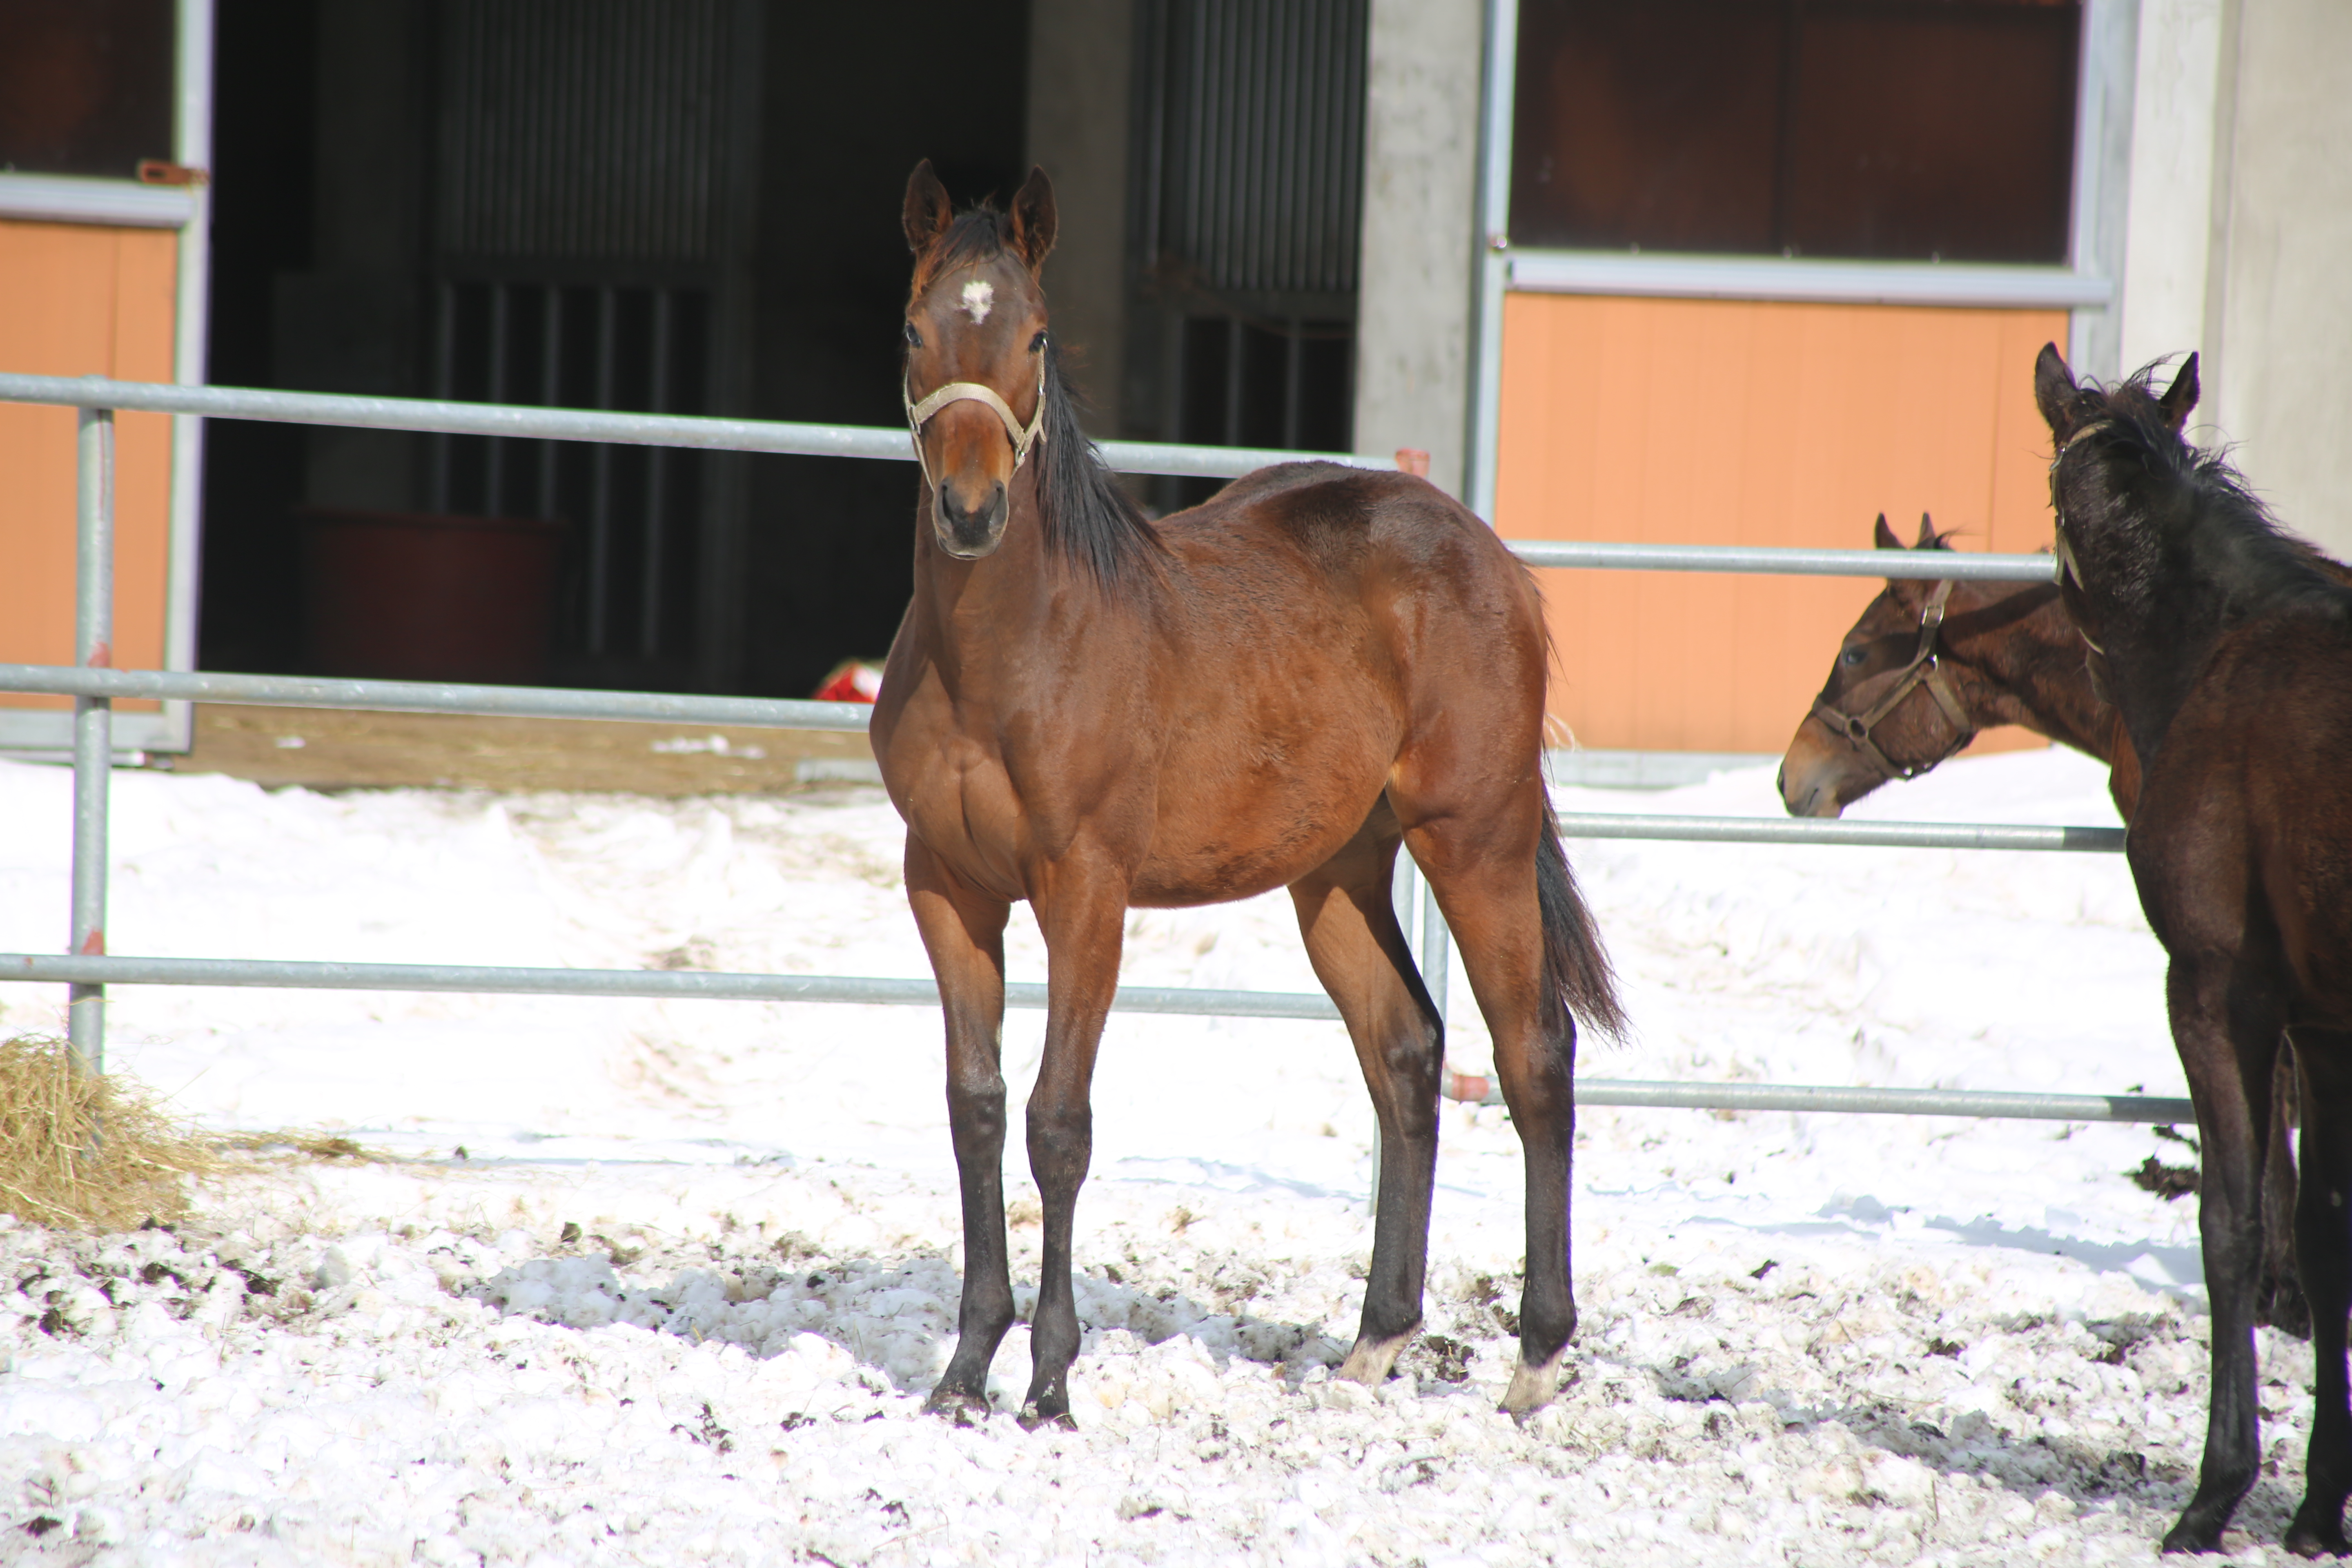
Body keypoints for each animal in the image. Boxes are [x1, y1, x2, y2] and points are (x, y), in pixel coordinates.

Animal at [875, 162, 1627, 1439]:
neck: (1008, 655)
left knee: (1532, 1055)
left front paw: (1051, 1383)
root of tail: (1490, 558)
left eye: (1035, 334)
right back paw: (1375, 1342)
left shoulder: (1085, 894)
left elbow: (1057, 1123)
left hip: (1473, 840)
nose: (970, 511)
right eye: (916, 330)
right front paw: (966, 1367)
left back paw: (1535, 1356)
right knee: (1406, 1052)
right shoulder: (947, 891)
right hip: (1336, 874)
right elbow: (974, 1107)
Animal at [2041, 343, 2352, 1561]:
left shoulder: (2217, 992)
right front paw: (2315, 1503)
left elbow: (2233, 1224)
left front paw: (2215, 1492)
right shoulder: (2320, 1022)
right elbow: (2318, 1232)